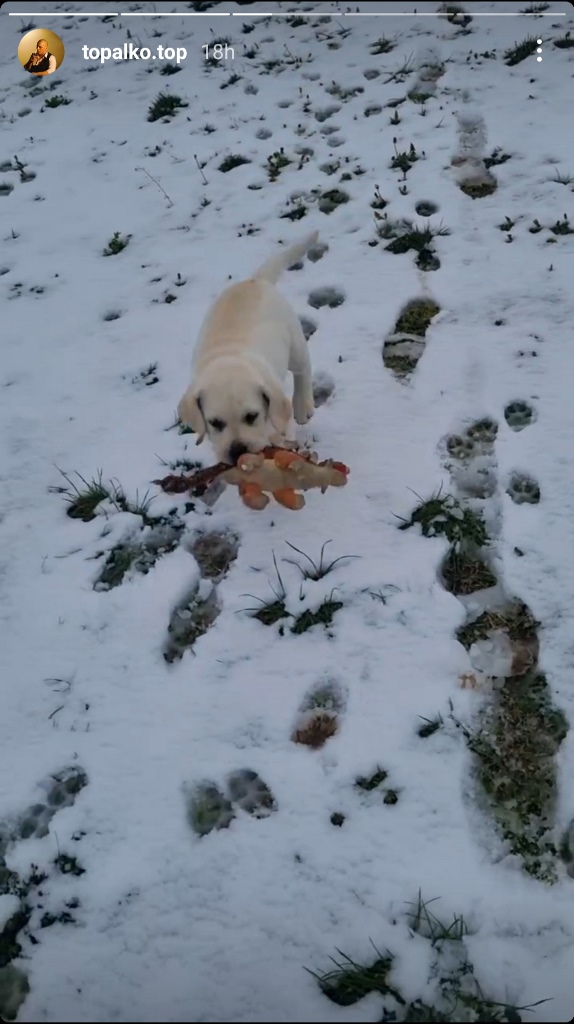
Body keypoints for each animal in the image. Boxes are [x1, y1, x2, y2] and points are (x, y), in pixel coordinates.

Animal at [177, 230, 319, 465]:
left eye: (251, 416)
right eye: (215, 423)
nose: (238, 452)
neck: (229, 359)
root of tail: (256, 279)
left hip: (294, 341)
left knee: (303, 370)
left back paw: (302, 406)